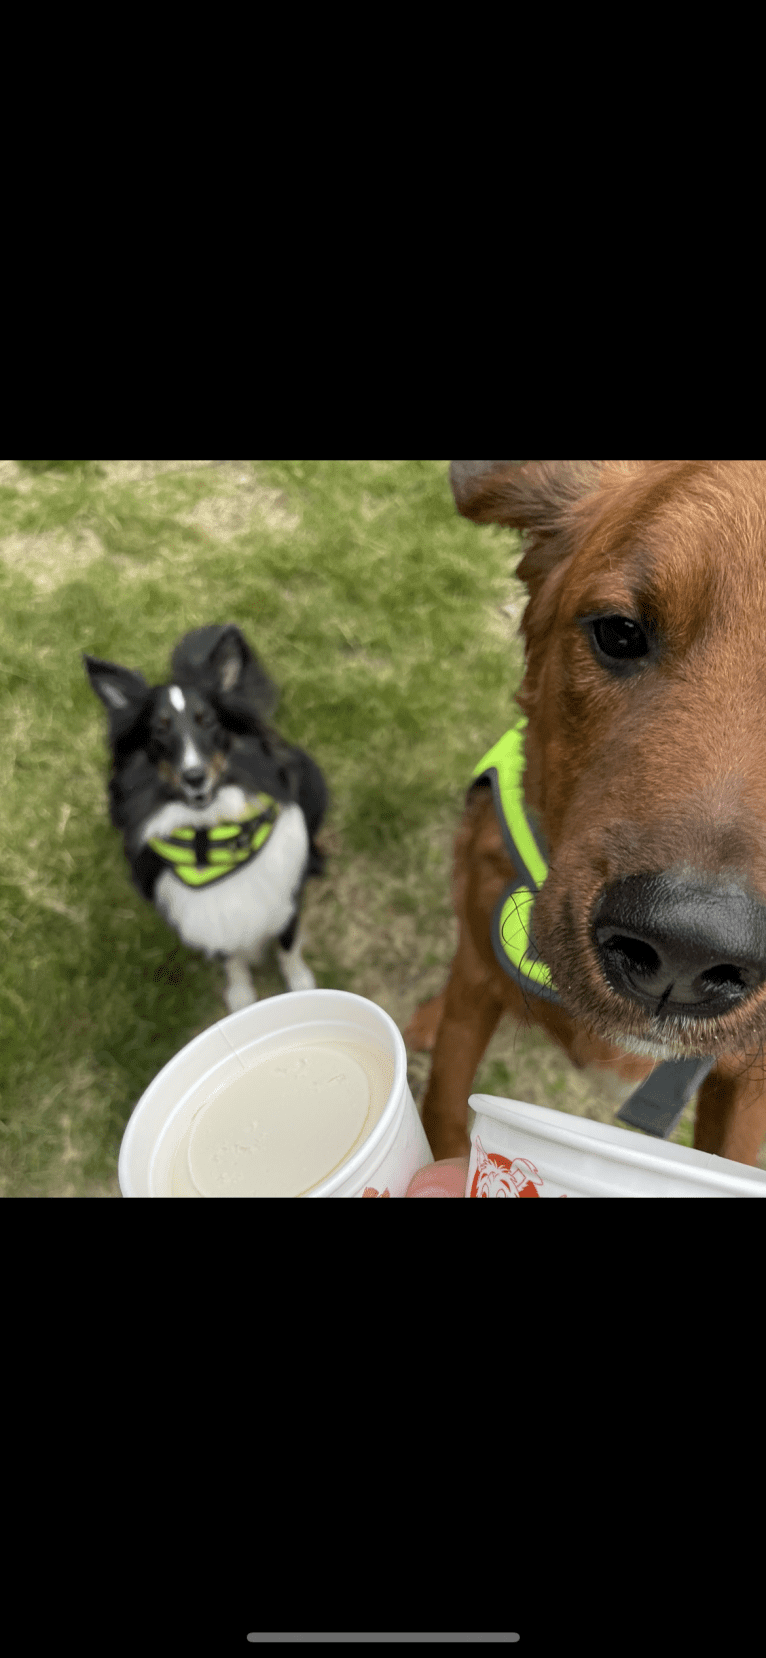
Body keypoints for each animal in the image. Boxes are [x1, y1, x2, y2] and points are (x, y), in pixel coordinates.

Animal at [84, 623, 329, 1008]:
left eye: (209, 721)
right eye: (159, 730)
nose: (194, 777)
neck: (208, 835)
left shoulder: (287, 899)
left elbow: (289, 945)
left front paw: (302, 985)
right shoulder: (212, 919)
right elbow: (232, 959)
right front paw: (241, 997)